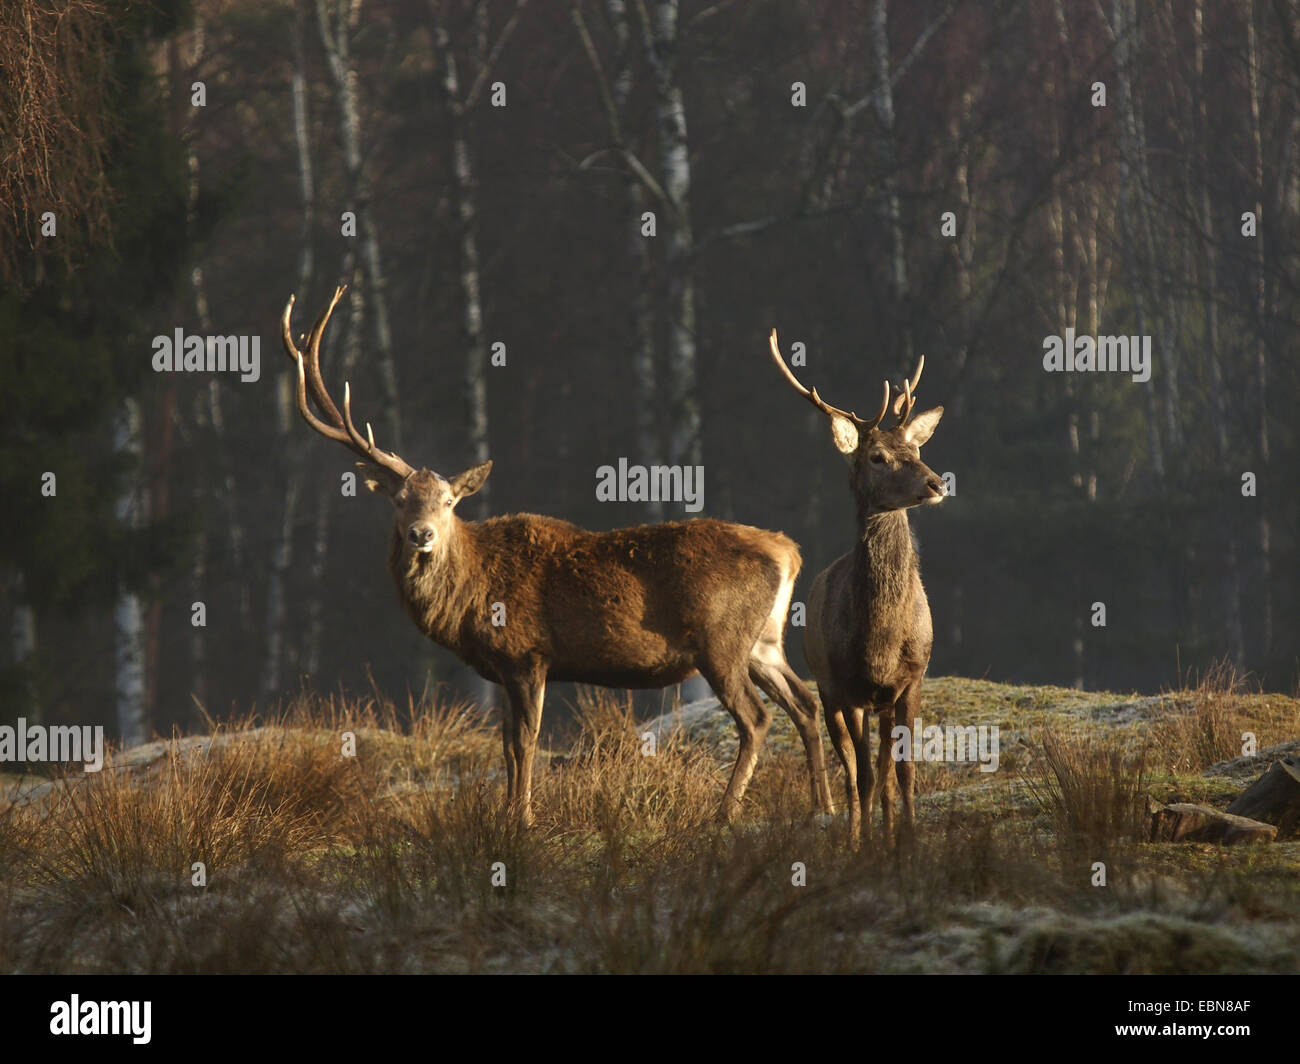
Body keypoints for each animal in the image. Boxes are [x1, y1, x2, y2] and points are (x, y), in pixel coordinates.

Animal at [279, 288, 837, 822]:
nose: (421, 534)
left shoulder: (528, 653)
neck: (469, 599)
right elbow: (506, 746)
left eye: (449, 501)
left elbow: (525, 744)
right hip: (764, 641)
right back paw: (823, 806)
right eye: (399, 499)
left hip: (721, 638)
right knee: (806, 703)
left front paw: (523, 818)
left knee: (757, 717)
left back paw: (724, 813)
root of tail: (789, 552)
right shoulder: (502, 669)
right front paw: (508, 814)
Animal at [759, 331, 946, 848]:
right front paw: (859, 845)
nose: (937, 482)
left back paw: (885, 827)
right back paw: (855, 831)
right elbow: (861, 774)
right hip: (829, 693)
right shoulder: (848, 686)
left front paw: (908, 839)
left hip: (878, 701)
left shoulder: (911, 679)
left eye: (916, 451)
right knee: (848, 765)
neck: (881, 638)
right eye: (878, 457)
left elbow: (903, 772)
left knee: (882, 768)